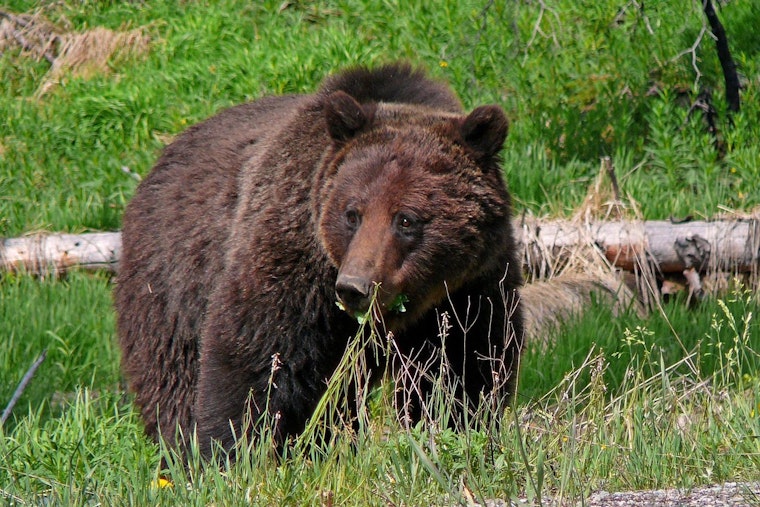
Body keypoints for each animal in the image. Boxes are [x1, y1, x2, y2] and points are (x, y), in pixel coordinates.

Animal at [114, 61, 524, 458]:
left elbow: (464, 368)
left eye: (406, 219)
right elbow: (257, 361)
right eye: (352, 214)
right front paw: (231, 452)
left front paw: (455, 432)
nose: (355, 287)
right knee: (174, 378)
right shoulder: (296, 266)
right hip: (172, 286)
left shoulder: (468, 289)